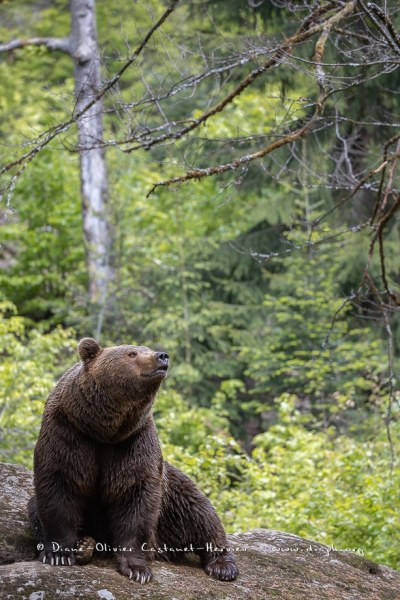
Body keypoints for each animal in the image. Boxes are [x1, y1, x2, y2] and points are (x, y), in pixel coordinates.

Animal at [28, 340, 241, 584]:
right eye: (132, 353)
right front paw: (59, 554)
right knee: (34, 507)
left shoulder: (134, 443)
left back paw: (222, 566)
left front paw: (137, 569)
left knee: (199, 513)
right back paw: (85, 545)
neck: (103, 430)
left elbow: (135, 497)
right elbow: (59, 487)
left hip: (171, 499)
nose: (162, 356)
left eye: (146, 349)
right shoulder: (69, 433)